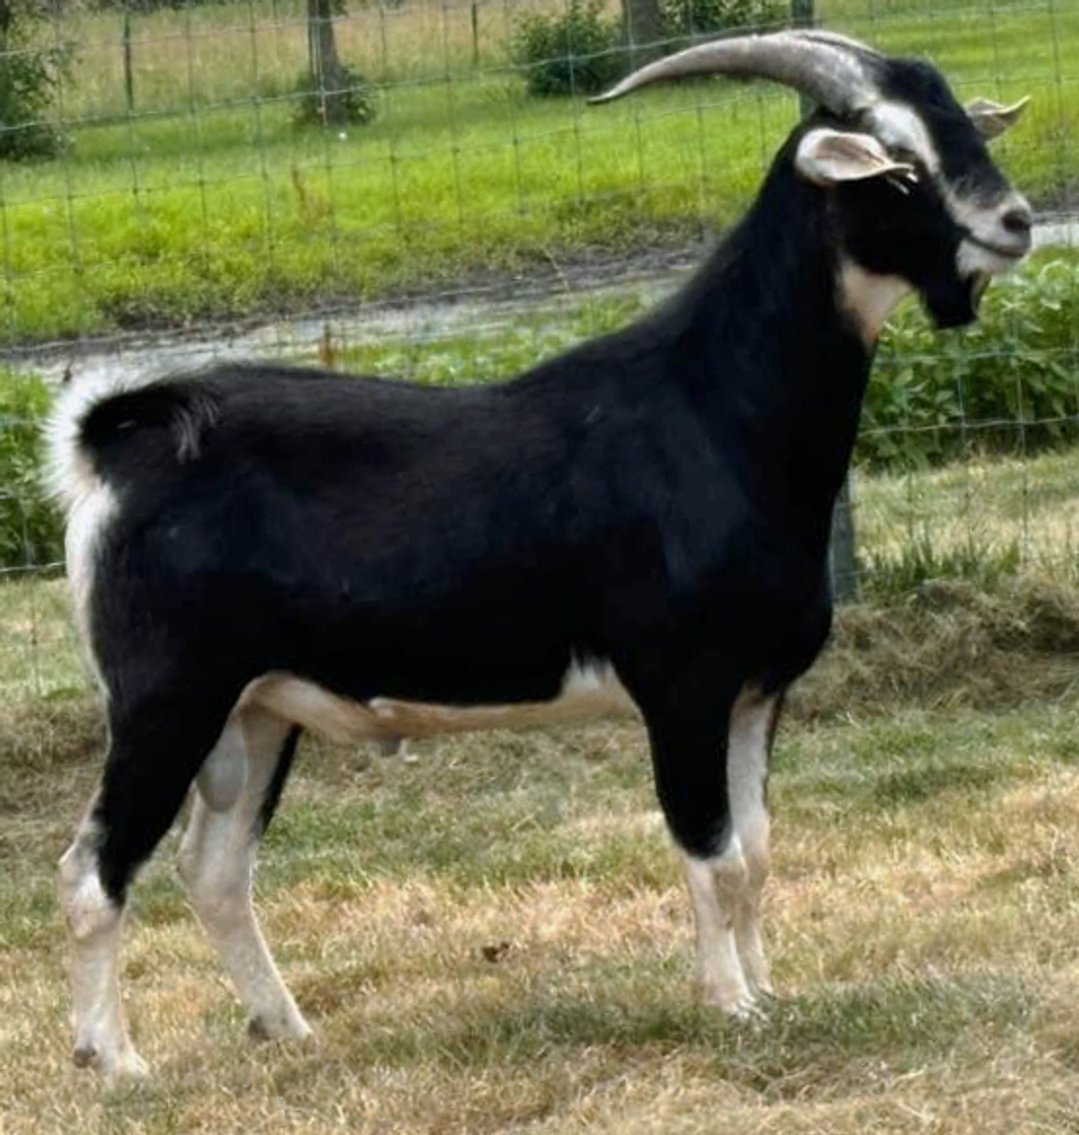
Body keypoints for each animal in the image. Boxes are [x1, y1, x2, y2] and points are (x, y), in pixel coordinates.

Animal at [50, 30, 1031, 1078]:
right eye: (894, 161)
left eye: (961, 126)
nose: (1012, 222)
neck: (714, 406)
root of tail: (114, 445)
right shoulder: (681, 688)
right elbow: (711, 850)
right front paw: (729, 1007)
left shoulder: (758, 690)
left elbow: (758, 852)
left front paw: (770, 993)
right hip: (167, 697)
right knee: (94, 870)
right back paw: (114, 1060)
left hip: (257, 707)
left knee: (215, 867)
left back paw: (286, 1026)